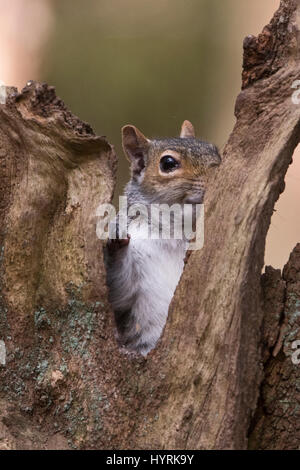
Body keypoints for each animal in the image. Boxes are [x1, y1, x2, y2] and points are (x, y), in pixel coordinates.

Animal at [105, 121, 220, 356]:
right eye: (168, 163)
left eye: (216, 151)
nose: (217, 170)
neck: (175, 232)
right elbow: (121, 291)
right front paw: (116, 239)